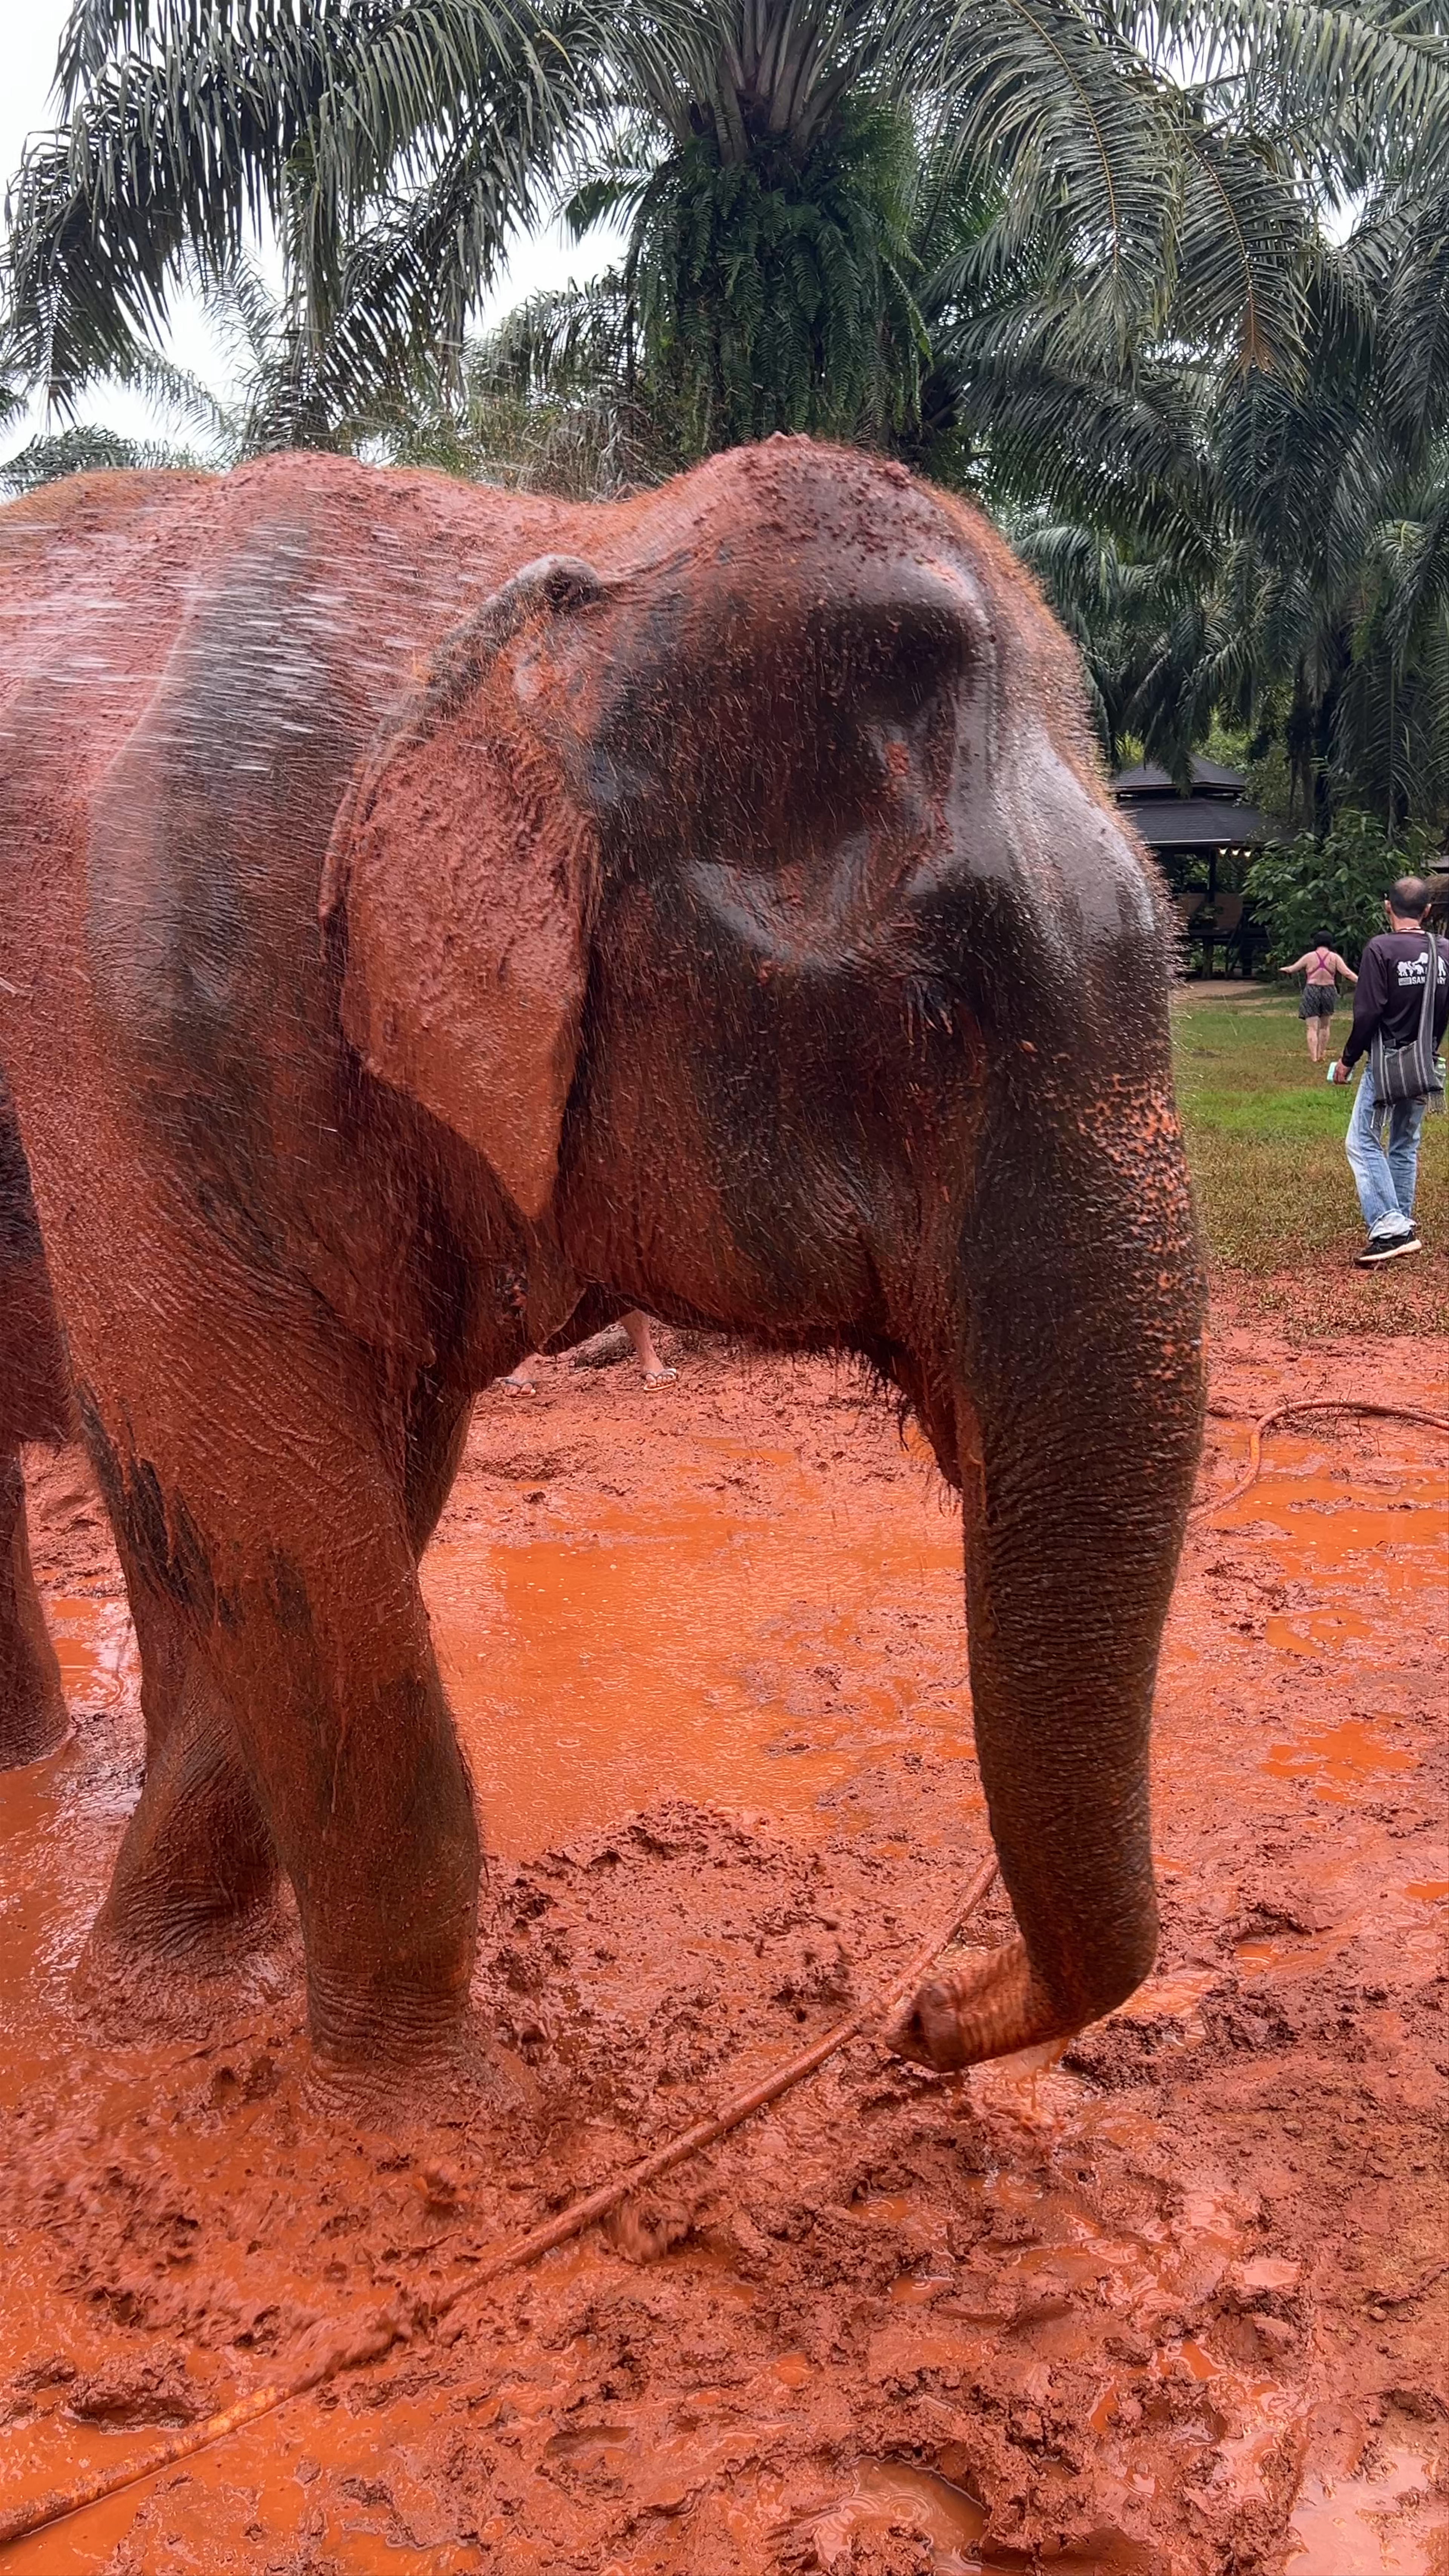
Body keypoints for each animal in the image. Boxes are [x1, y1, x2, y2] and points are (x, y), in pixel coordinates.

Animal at [0, 437, 1205, 2085]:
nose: (918, 2008)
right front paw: (410, 2105)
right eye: (933, 1013)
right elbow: (250, 1477)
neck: (535, 565)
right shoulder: (131, 1026)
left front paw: (162, 1978)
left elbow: (335, 1496)